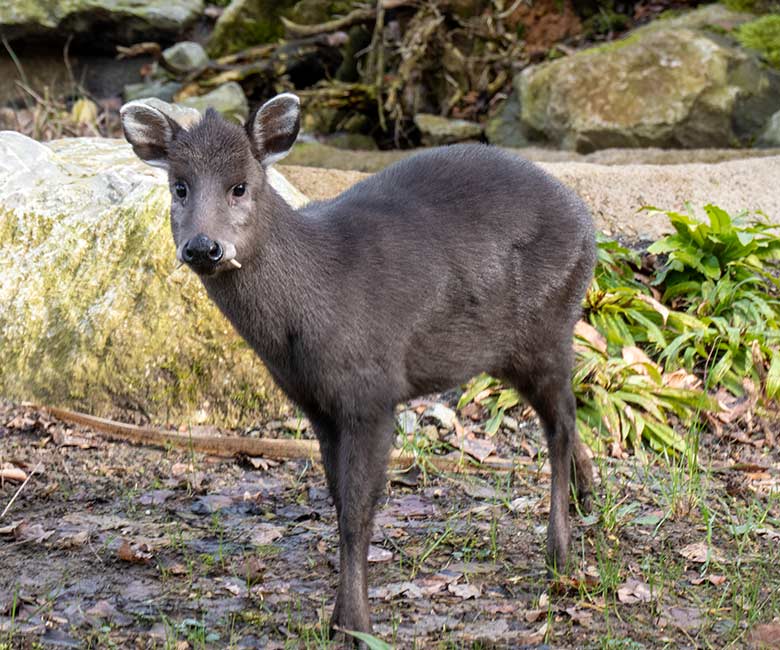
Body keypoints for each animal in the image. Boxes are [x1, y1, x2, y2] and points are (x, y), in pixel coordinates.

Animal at [120, 93, 596, 640]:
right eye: (179, 186)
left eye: (239, 186)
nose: (202, 246)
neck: (311, 301)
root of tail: (589, 226)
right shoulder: (316, 404)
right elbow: (338, 501)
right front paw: (341, 619)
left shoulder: (371, 391)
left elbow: (358, 511)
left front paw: (354, 624)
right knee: (569, 419)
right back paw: (588, 495)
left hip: (546, 328)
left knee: (560, 425)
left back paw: (560, 554)